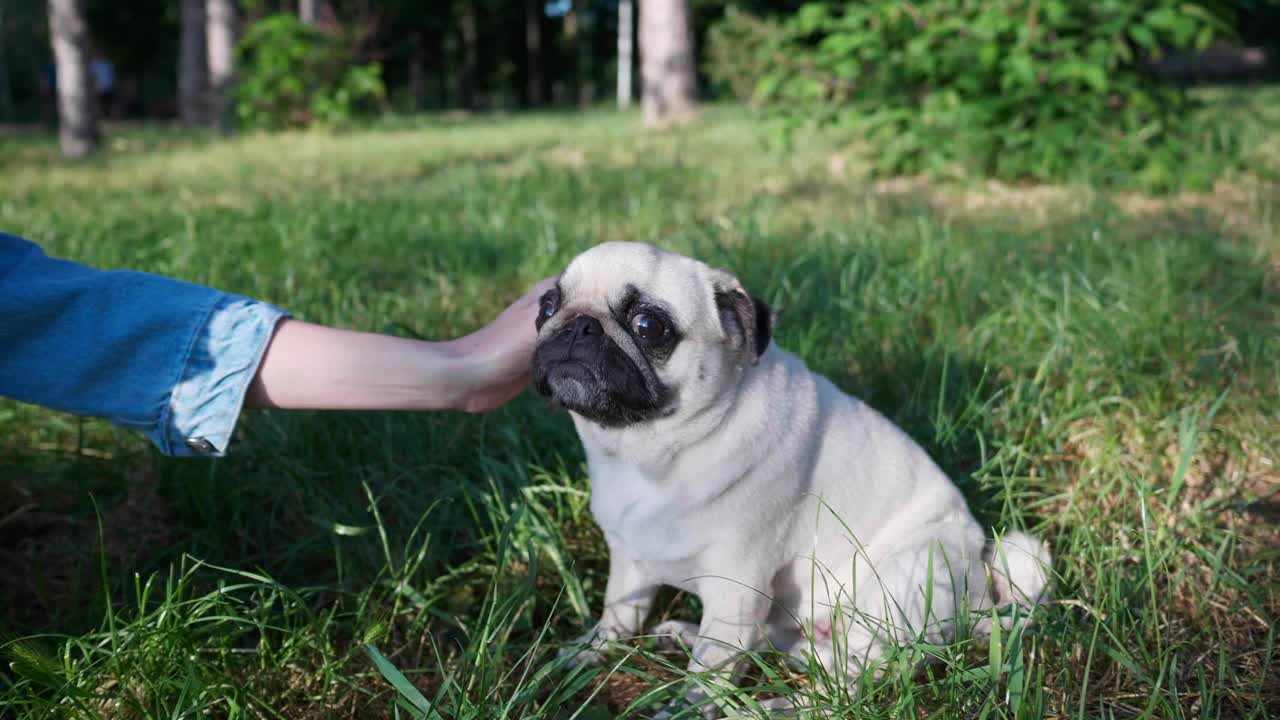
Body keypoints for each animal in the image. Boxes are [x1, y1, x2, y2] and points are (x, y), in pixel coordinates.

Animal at [529, 240, 1049, 712]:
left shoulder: (735, 588)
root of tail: (981, 595)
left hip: (897, 587)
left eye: (648, 326)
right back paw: (683, 635)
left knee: (847, 685)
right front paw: (586, 653)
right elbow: (618, 617)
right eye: (547, 306)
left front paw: (682, 709)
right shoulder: (630, 561)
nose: (577, 325)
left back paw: (775, 707)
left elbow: (707, 676)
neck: (649, 454)